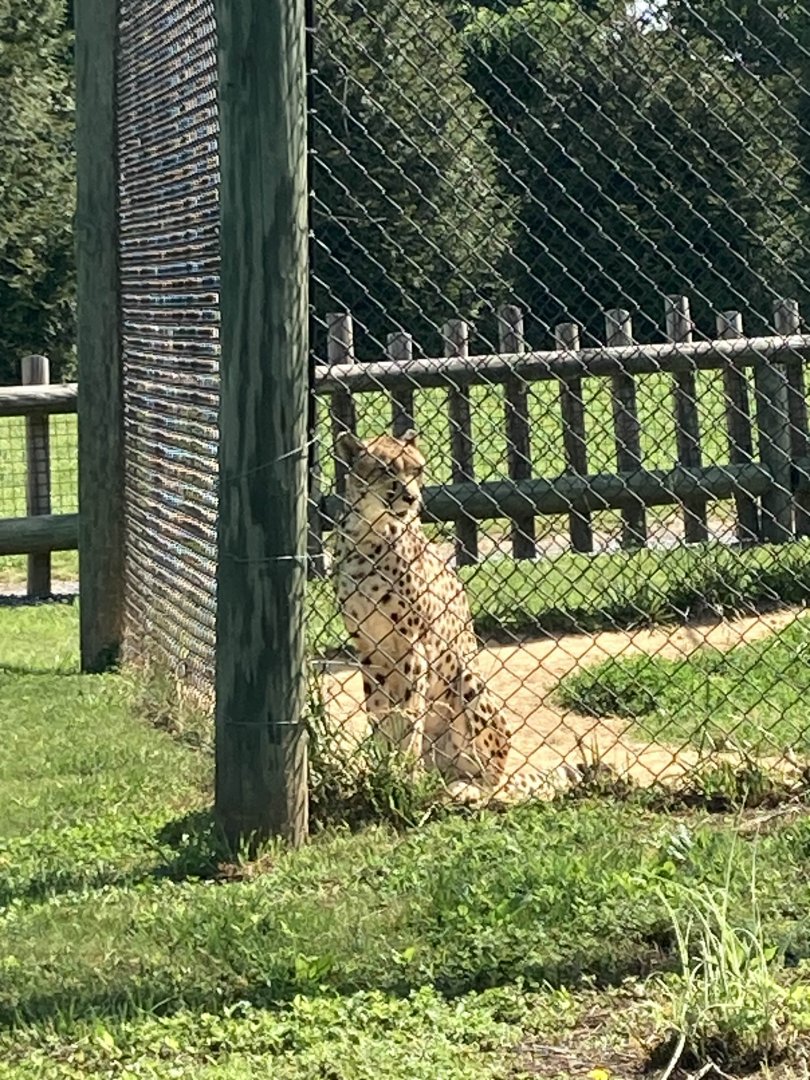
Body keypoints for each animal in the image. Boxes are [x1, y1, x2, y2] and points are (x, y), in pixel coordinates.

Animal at [330, 428, 573, 805]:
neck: (369, 532)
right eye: (386, 470)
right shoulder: (370, 650)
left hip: (468, 679)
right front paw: (384, 770)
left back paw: (466, 789)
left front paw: (405, 776)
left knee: (492, 781)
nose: (411, 498)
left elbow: (410, 716)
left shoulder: (414, 647)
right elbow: (380, 714)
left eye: (417, 469)